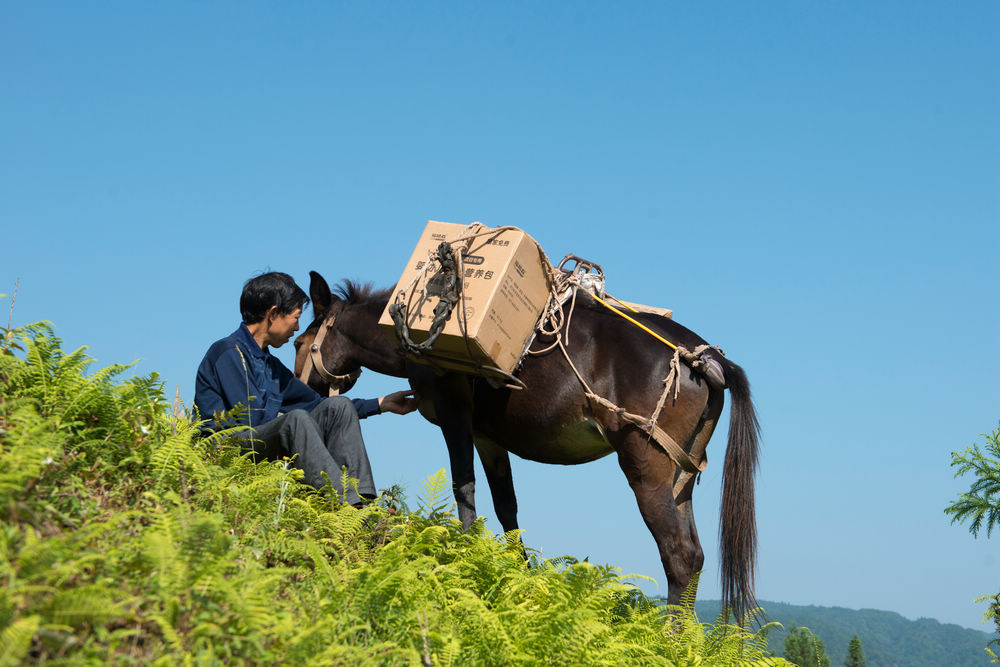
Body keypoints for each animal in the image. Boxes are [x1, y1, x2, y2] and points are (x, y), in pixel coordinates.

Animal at [292, 274, 760, 620]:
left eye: (299, 342)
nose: (301, 387)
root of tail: (705, 359)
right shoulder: (489, 439)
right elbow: (507, 509)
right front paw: (516, 579)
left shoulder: (455, 419)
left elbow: (464, 489)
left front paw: (468, 560)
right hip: (680, 476)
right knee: (695, 557)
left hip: (647, 468)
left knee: (679, 556)